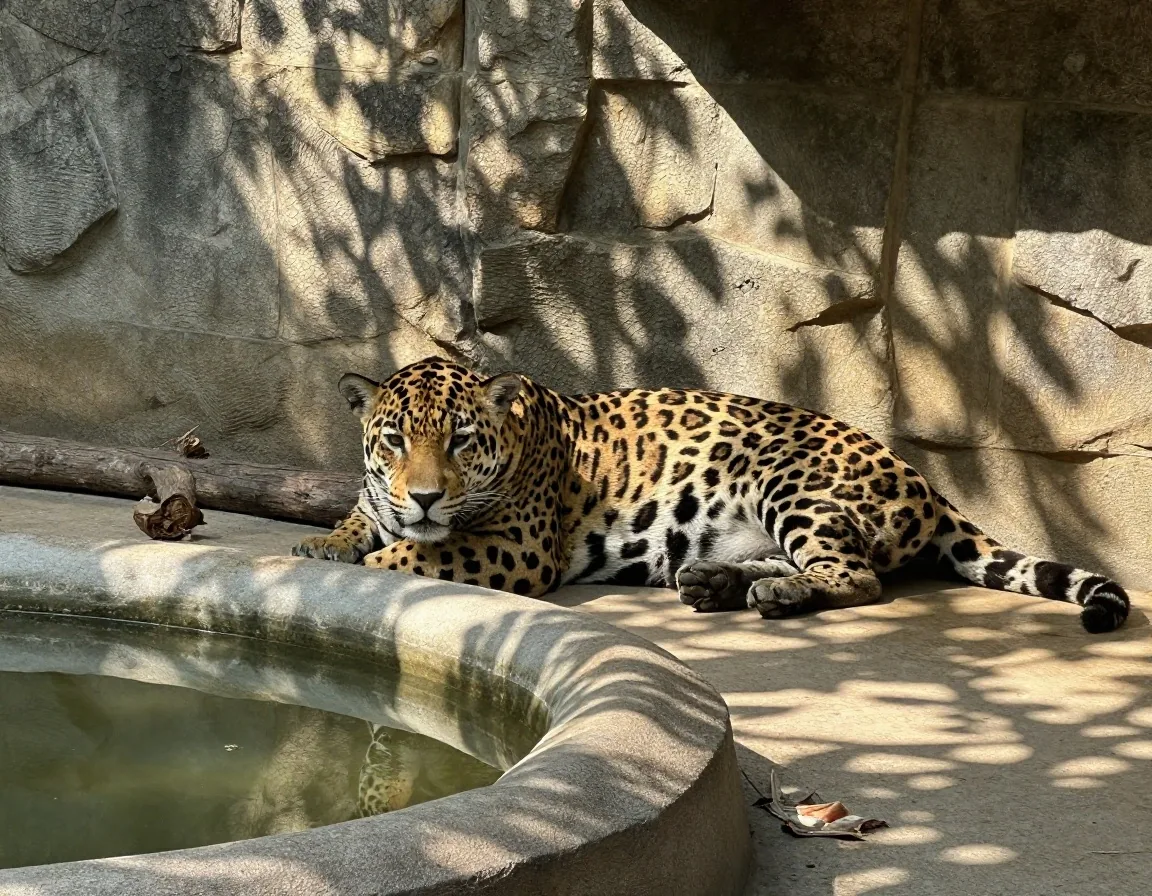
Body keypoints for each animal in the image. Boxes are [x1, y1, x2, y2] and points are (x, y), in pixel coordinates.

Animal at [293, 357, 1130, 635]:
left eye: (463, 441)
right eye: (393, 439)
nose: (426, 496)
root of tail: (923, 479)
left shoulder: (517, 546)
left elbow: (417, 553)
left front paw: (375, 559)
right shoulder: (381, 499)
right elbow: (359, 520)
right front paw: (320, 543)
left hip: (793, 483)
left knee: (855, 576)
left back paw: (769, 596)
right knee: (815, 564)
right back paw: (717, 582)